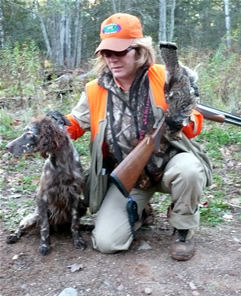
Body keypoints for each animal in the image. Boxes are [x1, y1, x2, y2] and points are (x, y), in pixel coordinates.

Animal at [5, 111, 88, 254]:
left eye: (29, 133)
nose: (6, 147)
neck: (62, 163)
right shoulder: (42, 197)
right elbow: (44, 227)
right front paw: (44, 245)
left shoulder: (76, 195)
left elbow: (75, 223)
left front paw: (78, 240)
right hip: (34, 215)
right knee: (23, 226)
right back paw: (14, 236)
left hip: (83, 206)